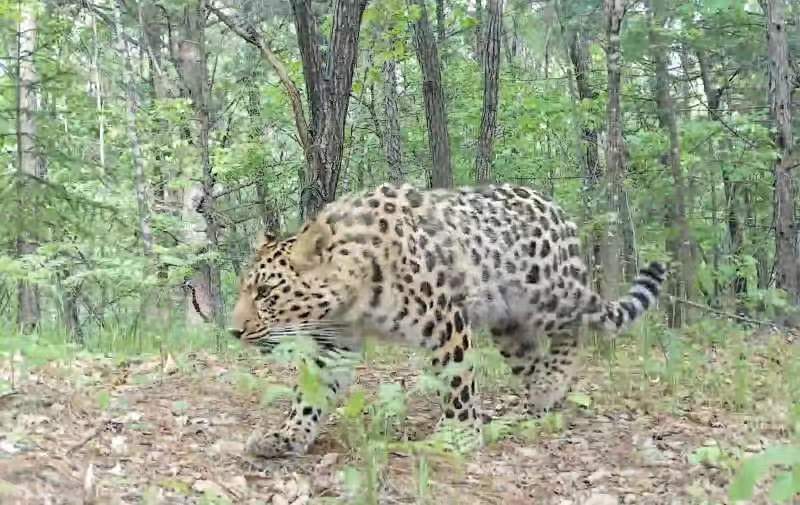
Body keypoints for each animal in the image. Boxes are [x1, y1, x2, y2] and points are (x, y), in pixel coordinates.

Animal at [228, 184, 664, 456]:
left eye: (265, 293)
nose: (234, 331)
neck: (352, 298)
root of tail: (556, 208)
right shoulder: (333, 344)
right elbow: (310, 396)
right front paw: (286, 437)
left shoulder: (445, 321)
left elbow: (456, 383)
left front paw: (457, 438)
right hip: (509, 327)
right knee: (534, 356)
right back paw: (540, 401)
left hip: (547, 292)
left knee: (575, 328)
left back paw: (549, 384)